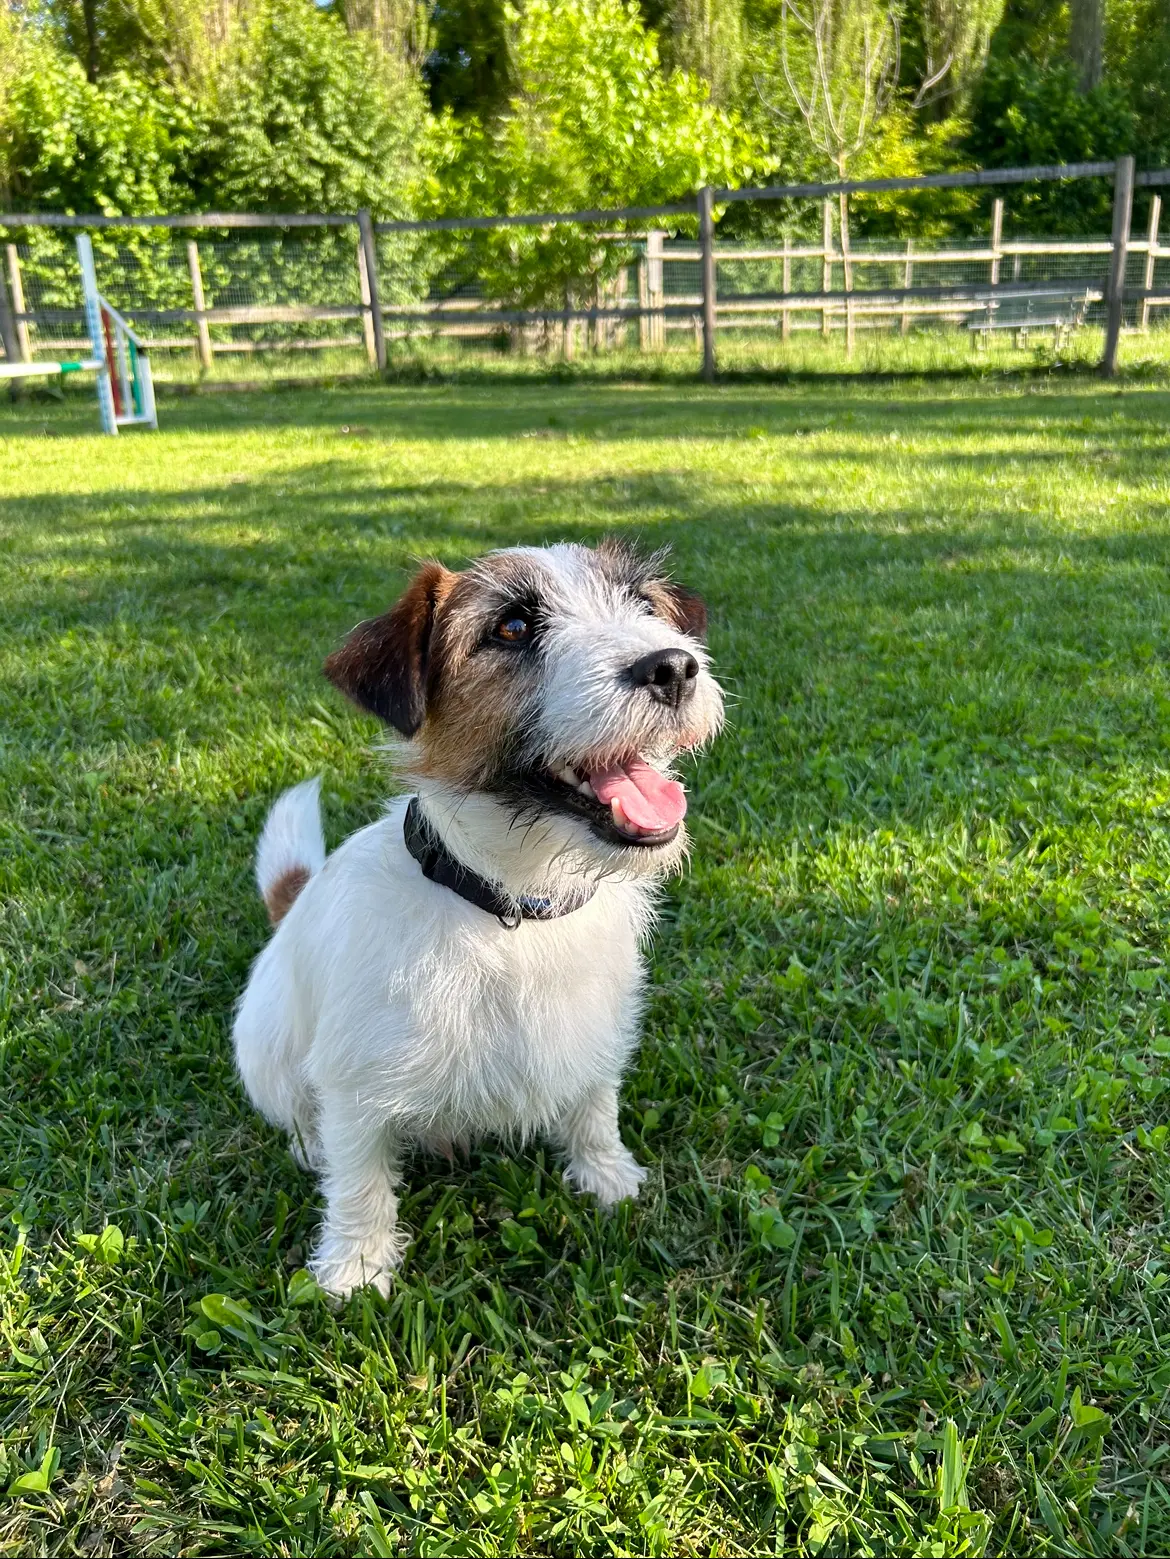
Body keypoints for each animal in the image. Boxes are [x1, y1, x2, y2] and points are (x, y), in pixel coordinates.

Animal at [230, 542, 723, 1297]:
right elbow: (359, 1180)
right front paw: (355, 1267)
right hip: (265, 1049)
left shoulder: (597, 1034)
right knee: (301, 1114)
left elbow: (595, 1109)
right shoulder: (354, 1087)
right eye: (512, 628)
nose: (672, 665)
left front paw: (608, 1177)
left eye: (643, 605)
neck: (514, 904)